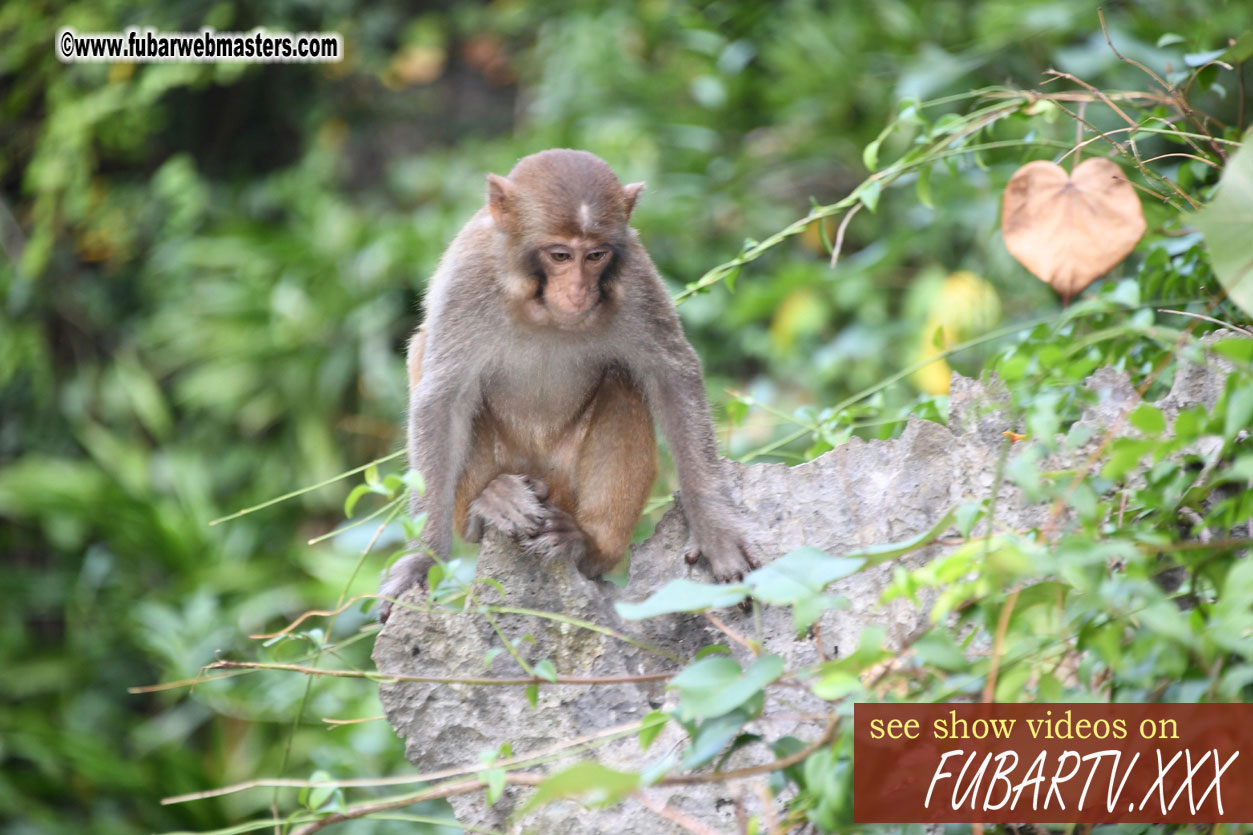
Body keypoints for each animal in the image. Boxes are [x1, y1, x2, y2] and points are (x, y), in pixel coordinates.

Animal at [375, 147, 756, 616]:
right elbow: (441, 402)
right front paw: (421, 560)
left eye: (595, 256)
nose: (577, 291)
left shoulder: (636, 278)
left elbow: (672, 376)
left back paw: (586, 545)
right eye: (560, 255)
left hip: (565, 483)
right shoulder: (468, 281)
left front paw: (715, 526)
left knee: (623, 381)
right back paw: (489, 502)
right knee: (428, 355)